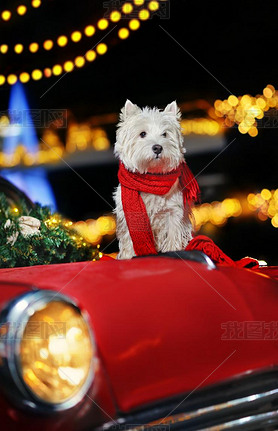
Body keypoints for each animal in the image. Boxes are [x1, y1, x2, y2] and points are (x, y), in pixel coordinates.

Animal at [113, 101, 198, 260]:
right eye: (142, 134)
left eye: (164, 134)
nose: (158, 147)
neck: (152, 178)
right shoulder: (129, 217)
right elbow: (129, 239)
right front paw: (128, 256)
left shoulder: (173, 213)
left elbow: (173, 235)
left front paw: (173, 250)